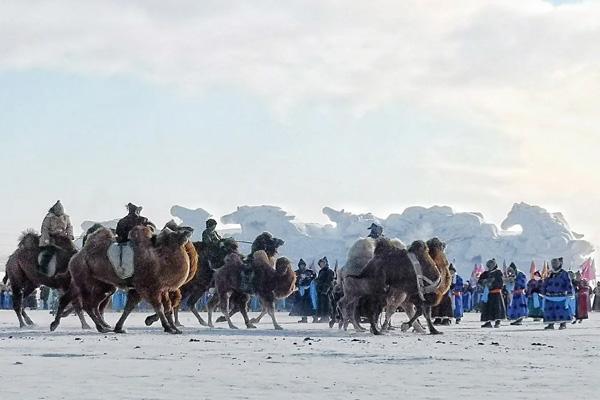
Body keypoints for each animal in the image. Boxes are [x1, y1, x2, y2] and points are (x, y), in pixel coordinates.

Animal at [51, 225, 193, 334]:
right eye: (176, 233)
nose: (189, 230)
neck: (160, 257)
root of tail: (75, 256)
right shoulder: (148, 287)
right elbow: (159, 307)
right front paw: (168, 328)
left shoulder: (156, 288)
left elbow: (131, 307)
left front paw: (119, 328)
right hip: (86, 281)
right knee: (87, 305)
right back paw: (101, 327)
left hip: (91, 284)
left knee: (76, 301)